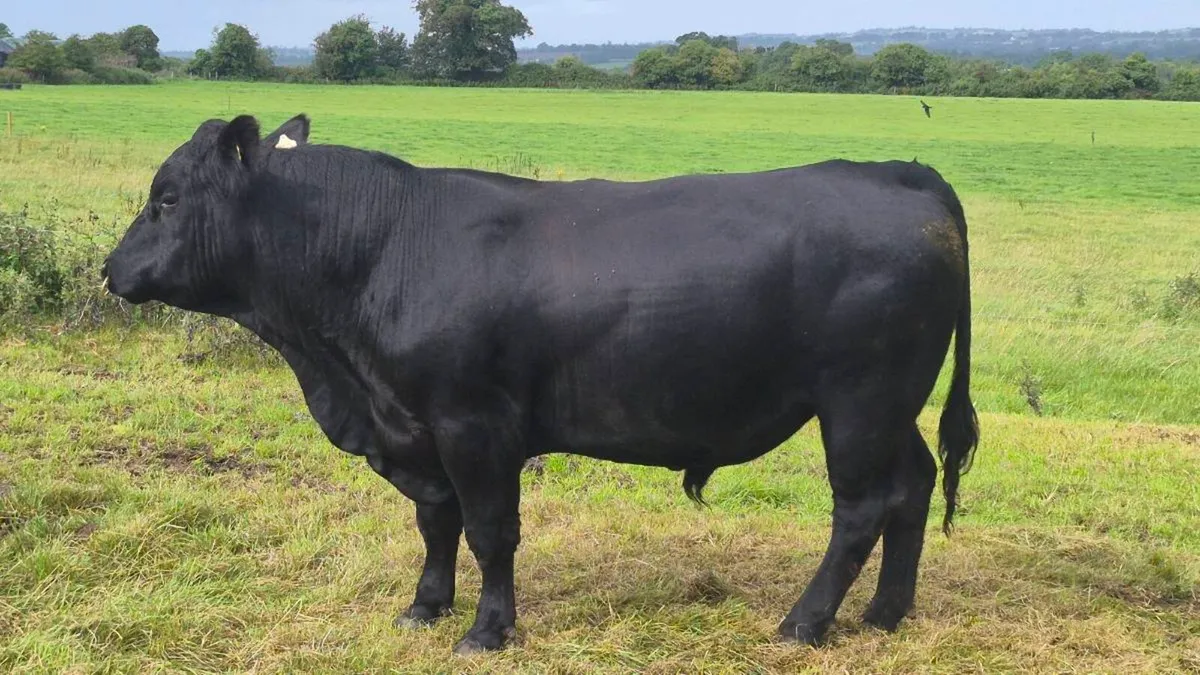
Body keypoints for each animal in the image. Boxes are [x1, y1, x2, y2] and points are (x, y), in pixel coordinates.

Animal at [102, 113, 979, 655]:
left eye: (166, 198)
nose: (112, 270)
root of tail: (902, 173)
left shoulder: (472, 423)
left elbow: (490, 530)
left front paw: (487, 630)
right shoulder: (414, 424)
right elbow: (435, 521)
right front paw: (425, 606)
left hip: (858, 401)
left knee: (861, 507)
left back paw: (805, 621)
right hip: (892, 405)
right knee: (912, 486)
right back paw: (886, 613)